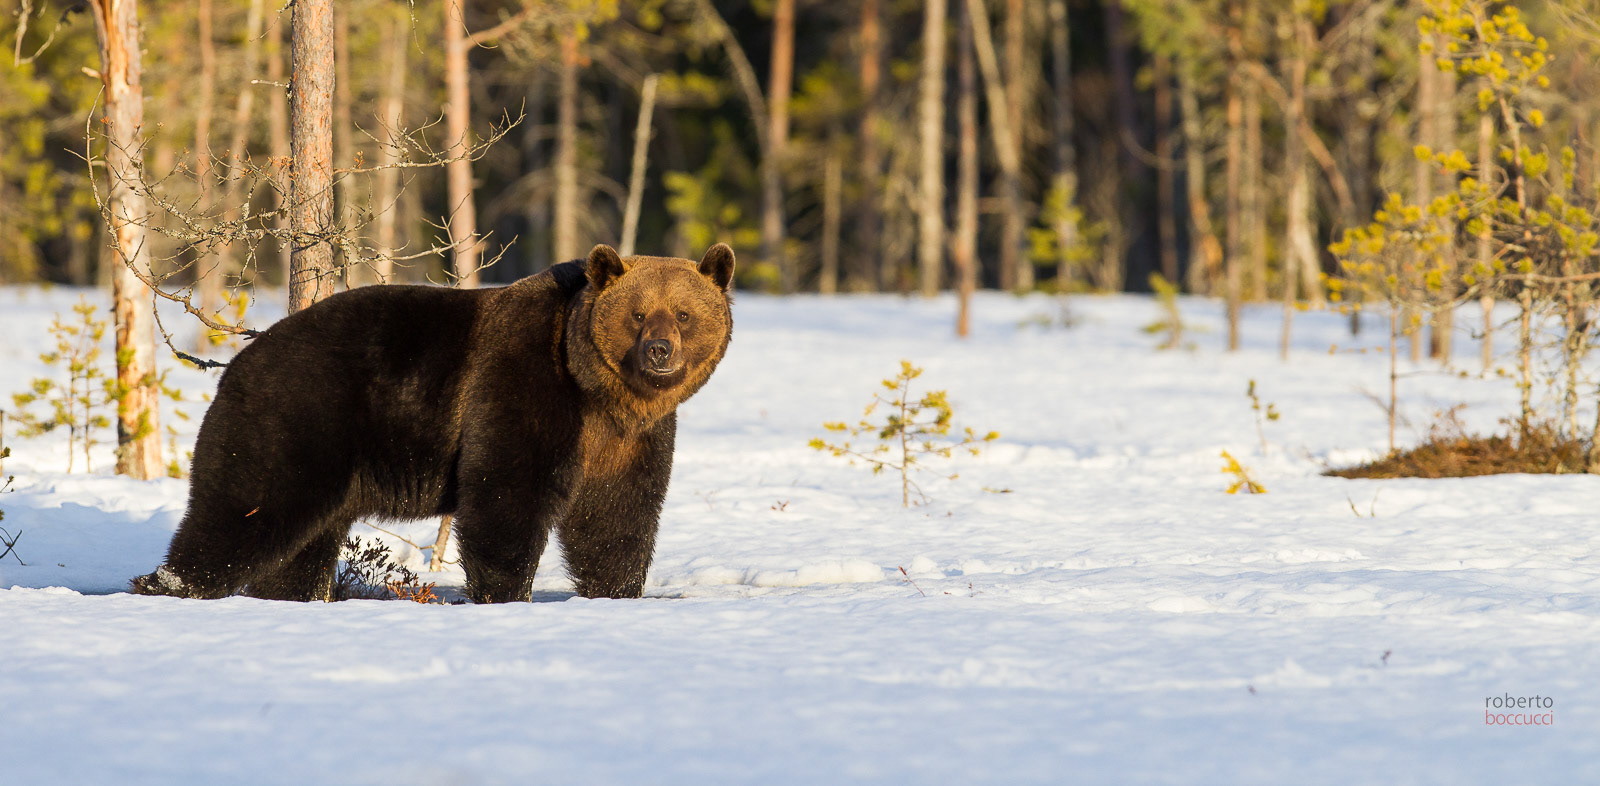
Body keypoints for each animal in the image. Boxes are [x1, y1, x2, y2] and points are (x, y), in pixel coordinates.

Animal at [130, 243, 735, 603]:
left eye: (684, 313)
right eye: (638, 313)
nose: (659, 352)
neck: (600, 391)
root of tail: (235, 362)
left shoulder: (627, 441)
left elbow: (617, 517)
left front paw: (618, 592)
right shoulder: (524, 384)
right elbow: (508, 494)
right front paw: (506, 592)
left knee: (302, 543)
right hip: (295, 420)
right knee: (242, 510)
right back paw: (166, 583)